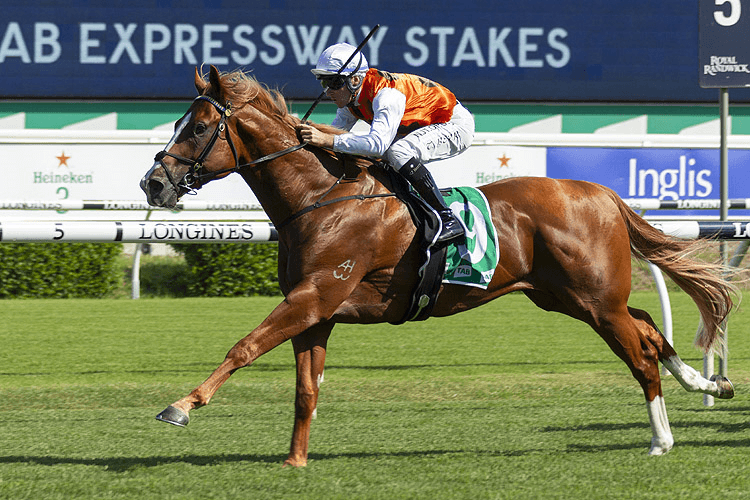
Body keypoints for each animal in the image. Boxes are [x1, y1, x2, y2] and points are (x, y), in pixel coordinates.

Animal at [140, 64, 736, 466]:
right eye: (179, 122)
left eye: (197, 128)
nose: (153, 183)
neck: (320, 197)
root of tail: (602, 193)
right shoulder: (316, 311)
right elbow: (306, 389)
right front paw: (295, 460)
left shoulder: (314, 296)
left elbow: (243, 347)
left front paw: (181, 405)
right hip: (568, 297)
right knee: (649, 326)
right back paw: (707, 384)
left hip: (594, 299)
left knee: (640, 355)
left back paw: (661, 438)